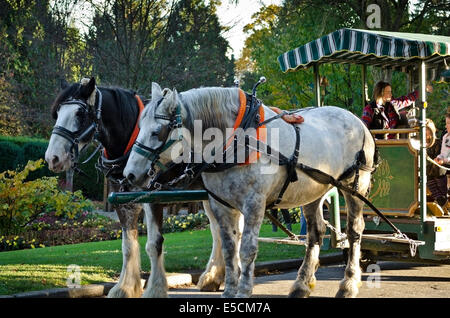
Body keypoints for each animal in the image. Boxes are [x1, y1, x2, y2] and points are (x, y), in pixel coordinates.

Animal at [124, 82, 376, 298]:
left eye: (157, 132)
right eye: (139, 127)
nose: (130, 174)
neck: (235, 140)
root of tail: (357, 120)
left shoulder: (254, 203)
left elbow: (246, 249)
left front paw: (243, 291)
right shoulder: (221, 205)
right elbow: (229, 249)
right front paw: (228, 290)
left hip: (355, 186)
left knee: (354, 232)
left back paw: (348, 284)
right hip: (313, 191)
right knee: (316, 233)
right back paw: (302, 284)